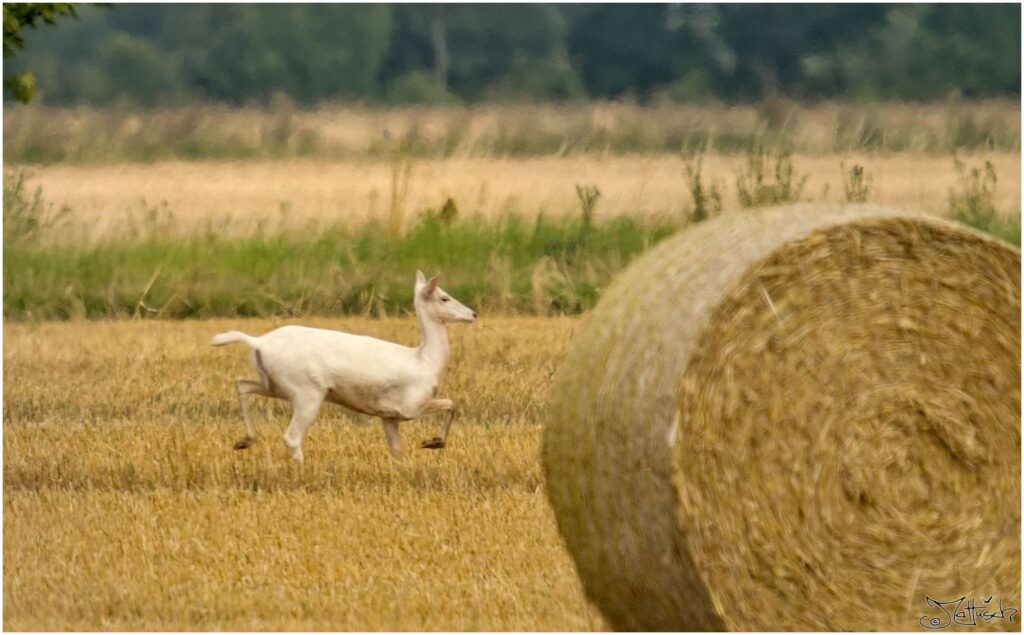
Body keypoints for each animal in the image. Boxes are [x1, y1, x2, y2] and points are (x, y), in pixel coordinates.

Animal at [210, 268, 479, 460]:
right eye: (444, 298)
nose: (473, 314)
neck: (426, 360)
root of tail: (259, 342)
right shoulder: (410, 407)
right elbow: (452, 403)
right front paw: (434, 442)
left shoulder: (389, 416)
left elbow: (397, 451)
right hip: (307, 392)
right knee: (291, 437)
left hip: (274, 385)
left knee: (242, 383)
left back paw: (244, 441)